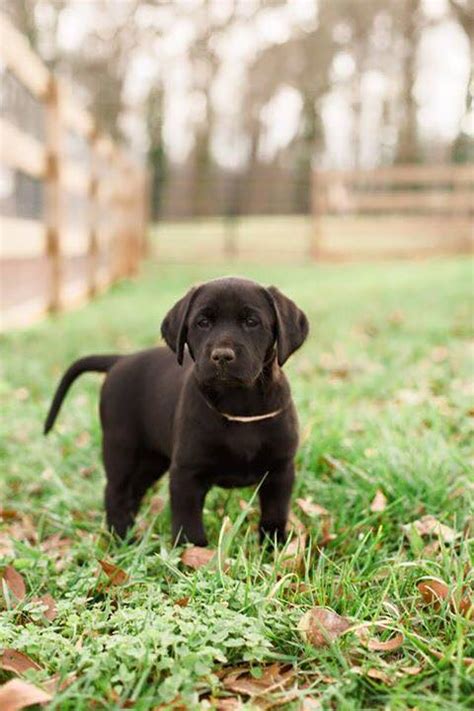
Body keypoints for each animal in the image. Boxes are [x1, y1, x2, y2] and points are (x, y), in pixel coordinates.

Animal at [44, 278, 310, 544]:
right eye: (203, 322)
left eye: (251, 322)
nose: (222, 356)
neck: (239, 406)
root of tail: (120, 360)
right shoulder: (186, 473)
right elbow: (188, 522)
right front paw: (192, 552)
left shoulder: (280, 470)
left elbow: (274, 513)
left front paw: (273, 545)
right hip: (121, 448)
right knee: (115, 492)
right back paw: (122, 538)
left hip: (152, 459)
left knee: (133, 492)